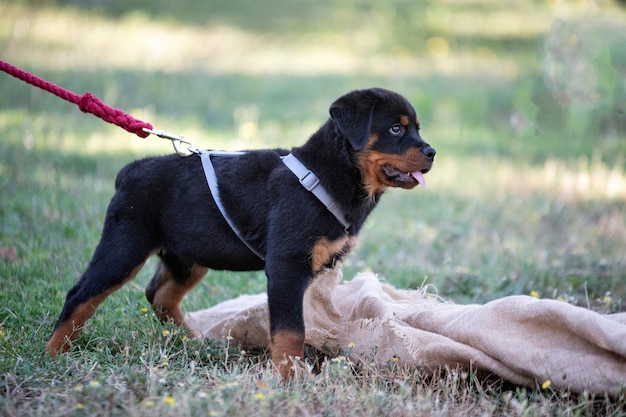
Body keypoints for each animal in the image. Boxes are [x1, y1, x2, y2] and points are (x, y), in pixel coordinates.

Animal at [45, 88, 434, 376]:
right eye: (396, 129)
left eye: (416, 127)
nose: (431, 151)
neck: (329, 174)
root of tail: (128, 172)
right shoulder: (287, 264)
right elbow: (290, 330)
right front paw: (292, 377)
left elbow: (305, 320)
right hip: (125, 245)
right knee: (81, 295)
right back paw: (52, 353)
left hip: (187, 257)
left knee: (160, 295)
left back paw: (194, 341)